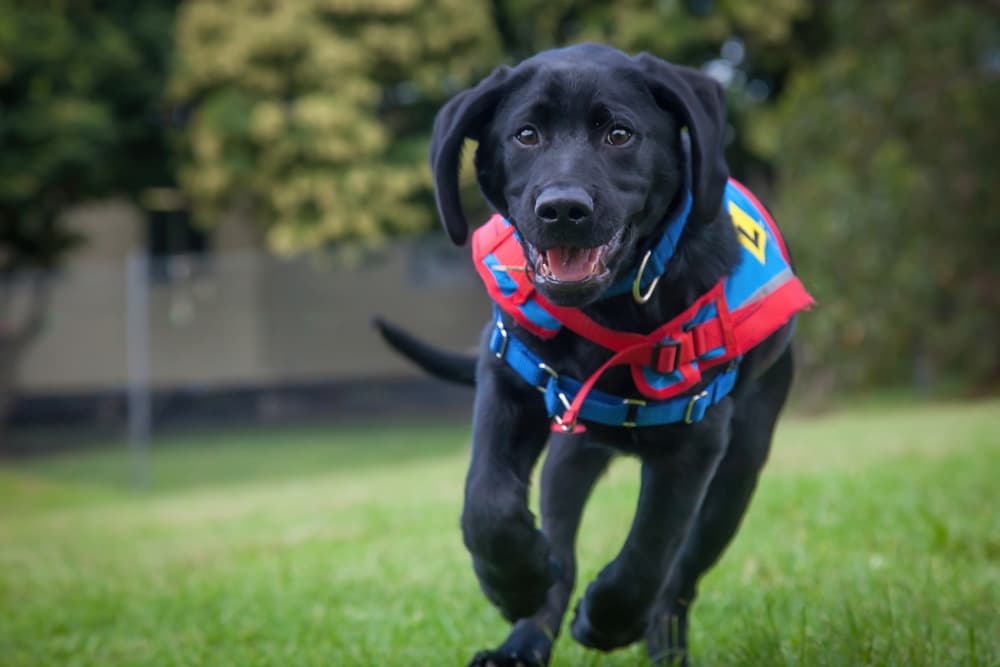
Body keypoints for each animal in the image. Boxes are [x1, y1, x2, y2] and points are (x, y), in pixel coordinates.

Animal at [378, 44, 808, 664]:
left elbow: (650, 551)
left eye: (619, 134)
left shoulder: (697, 438)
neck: (611, 310)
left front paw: (607, 621)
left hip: (740, 465)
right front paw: (514, 583)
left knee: (680, 577)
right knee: (562, 545)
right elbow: (487, 503)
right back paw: (523, 638)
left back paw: (659, 645)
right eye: (526, 134)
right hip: (571, 451)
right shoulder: (507, 379)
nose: (563, 209)